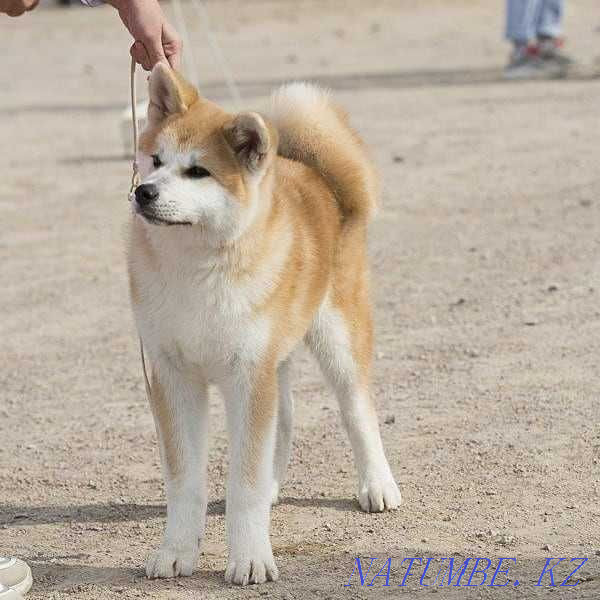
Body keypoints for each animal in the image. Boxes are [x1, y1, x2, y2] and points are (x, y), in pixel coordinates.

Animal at [129, 65, 404, 584]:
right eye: (154, 160)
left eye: (198, 171)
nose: (144, 191)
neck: (197, 271)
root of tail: (320, 178)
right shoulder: (173, 377)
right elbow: (184, 480)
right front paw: (176, 551)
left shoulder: (246, 375)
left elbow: (246, 483)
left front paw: (250, 557)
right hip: (274, 358)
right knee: (287, 418)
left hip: (336, 338)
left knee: (358, 413)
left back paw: (377, 484)